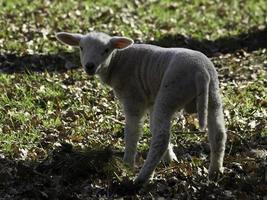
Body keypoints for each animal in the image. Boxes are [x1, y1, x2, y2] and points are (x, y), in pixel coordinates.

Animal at [55, 31, 227, 186]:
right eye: (81, 48)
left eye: (106, 50)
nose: (89, 66)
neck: (117, 61)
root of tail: (201, 73)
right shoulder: (150, 100)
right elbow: (152, 127)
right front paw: (170, 159)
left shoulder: (134, 99)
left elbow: (132, 132)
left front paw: (127, 165)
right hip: (213, 94)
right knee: (218, 134)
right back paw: (215, 172)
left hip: (170, 93)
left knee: (161, 138)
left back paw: (141, 178)